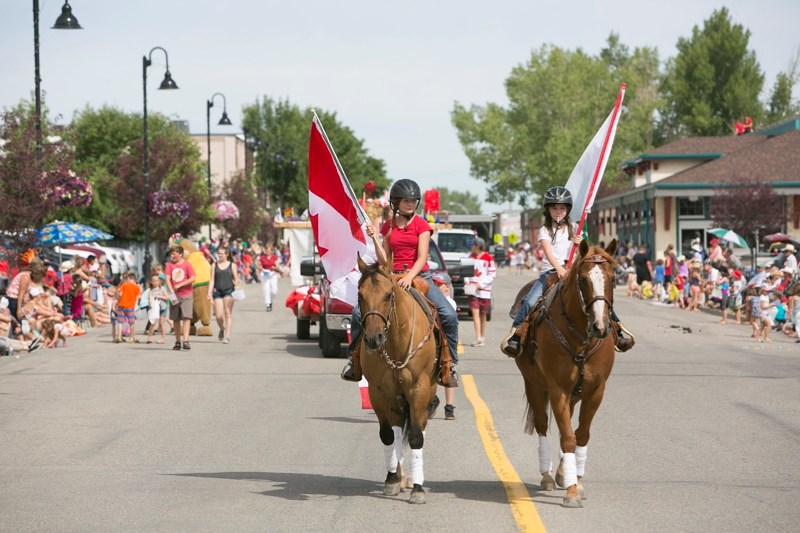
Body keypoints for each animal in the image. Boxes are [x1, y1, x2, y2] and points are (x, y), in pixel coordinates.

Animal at [358, 254, 444, 502]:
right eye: (359, 294)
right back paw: (400, 476)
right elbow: (387, 435)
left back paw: (411, 478)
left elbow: (416, 437)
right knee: (397, 430)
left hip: (427, 394)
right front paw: (391, 480)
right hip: (396, 398)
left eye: (389, 295)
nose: (373, 339)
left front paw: (418, 489)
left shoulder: (419, 389)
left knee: (419, 427)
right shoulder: (377, 392)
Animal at [516, 240, 620, 508]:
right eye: (583, 279)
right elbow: (567, 437)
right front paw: (572, 492)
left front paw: (577, 482)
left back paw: (563, 473)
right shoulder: (557, 389)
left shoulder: (596, 390)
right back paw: (548, 476)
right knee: (543, 425)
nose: (600, 327)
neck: (581, 337)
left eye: (613, 278)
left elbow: (580, 435)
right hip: (534, 386)